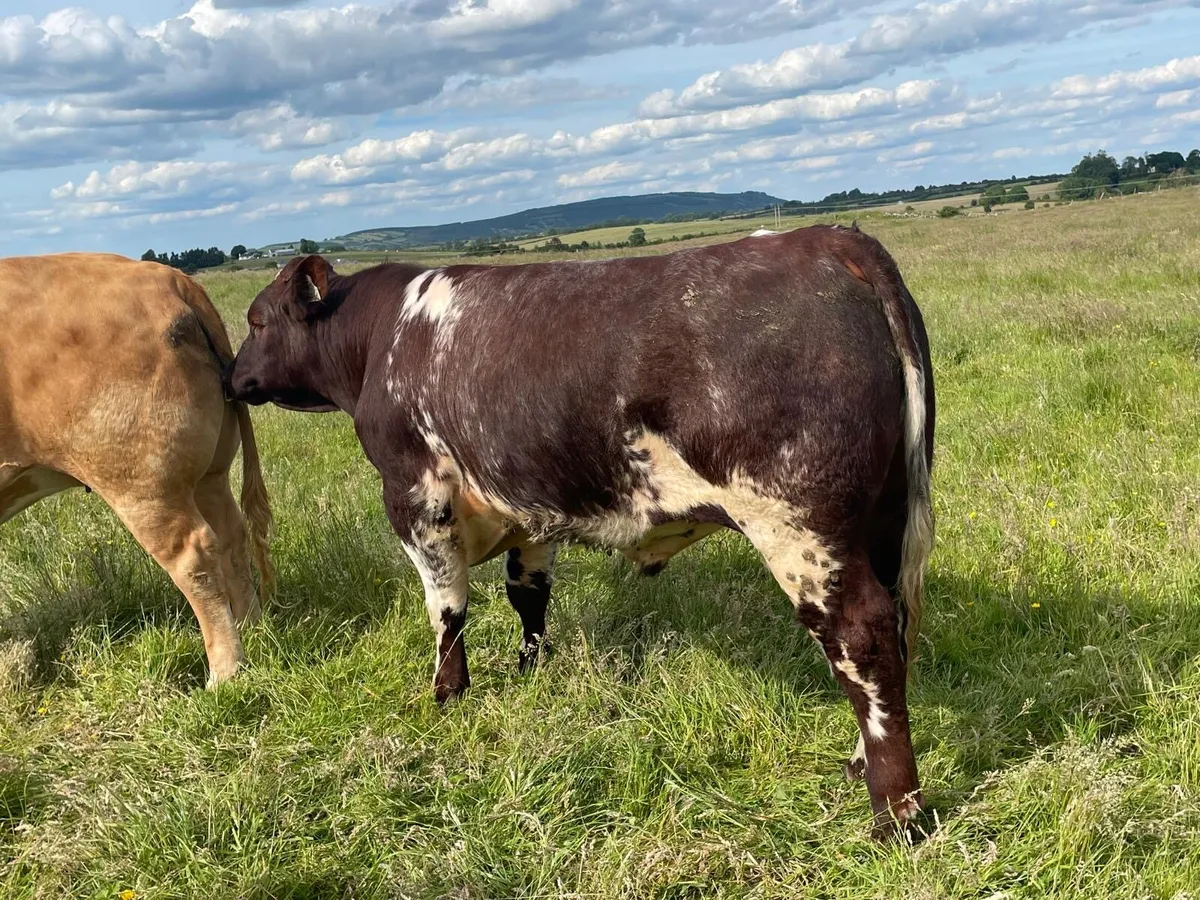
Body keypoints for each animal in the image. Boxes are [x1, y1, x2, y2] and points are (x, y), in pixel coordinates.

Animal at [0, 253, 275, 688]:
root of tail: (170, 277)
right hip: (208, 474)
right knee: (232, 536)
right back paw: (253, 628)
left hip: (141, 483)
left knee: (194, 554)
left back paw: (224, 673)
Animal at [228, 224, 935, 839]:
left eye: (257, 320)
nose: (231, 378)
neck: (383, 337)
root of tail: (828, 238)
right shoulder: (528, 501)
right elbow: (527, 592)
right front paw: (530, 668)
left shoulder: (416, 497)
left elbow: (447, 606)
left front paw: (447, 693)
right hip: (882, 519)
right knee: (894, 628)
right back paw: (859, 763)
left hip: (799, 525)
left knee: (861, 637)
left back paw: (895, 815)